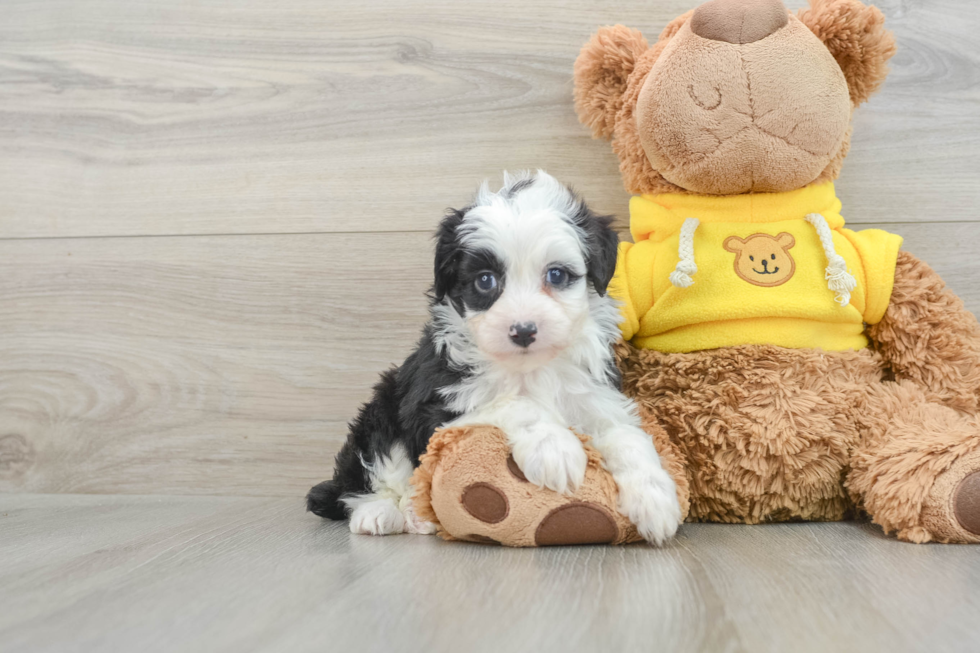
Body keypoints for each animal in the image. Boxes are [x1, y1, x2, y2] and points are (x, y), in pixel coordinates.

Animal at [306, 171, 680, 544]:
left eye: (557, 275)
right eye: (485, 281)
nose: (524, 330)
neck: (530, 368)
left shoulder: (596, 395)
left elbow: (626, 435)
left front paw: (655, 497)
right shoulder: (437, 406)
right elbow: (516, 403)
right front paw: (554, 447)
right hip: (382, 410)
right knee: (371, 475)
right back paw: (382, 513)